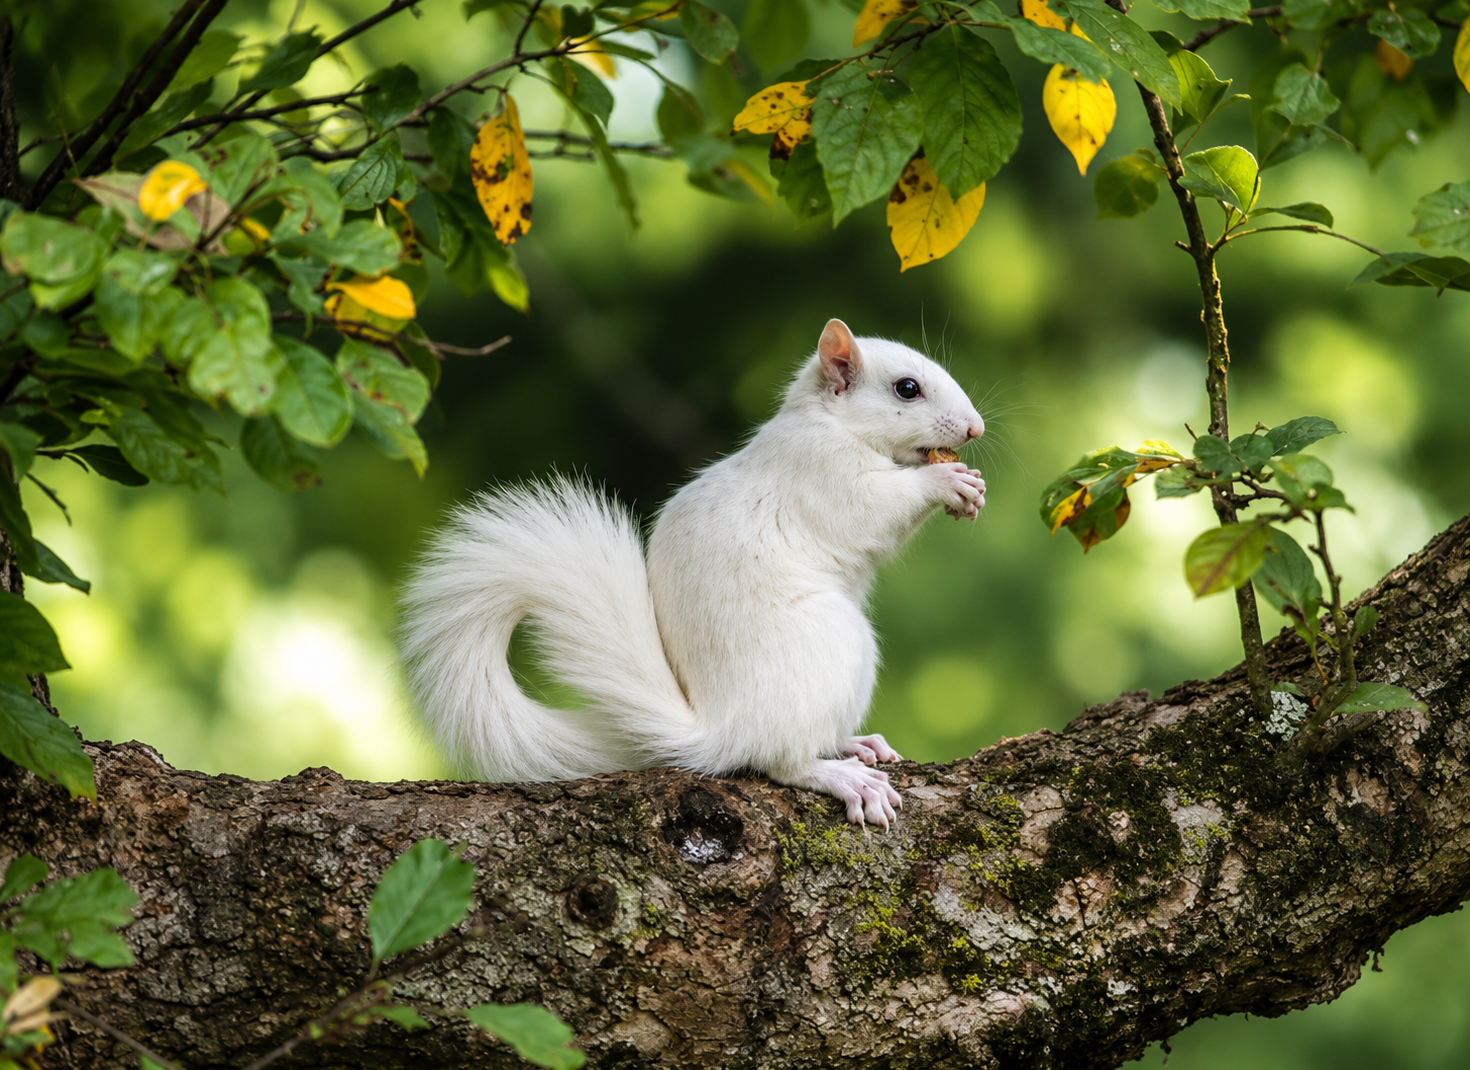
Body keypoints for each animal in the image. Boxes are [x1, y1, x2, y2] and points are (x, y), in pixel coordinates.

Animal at [400, 319, 986, 827]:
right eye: (906, 389)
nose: (975, 427)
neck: (830, 423)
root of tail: (720, 727)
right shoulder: (822, 473)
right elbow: (871, 511)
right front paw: (946, 482)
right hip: (835, 646)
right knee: (781, 759)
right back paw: (842, 776)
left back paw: (856, 744)